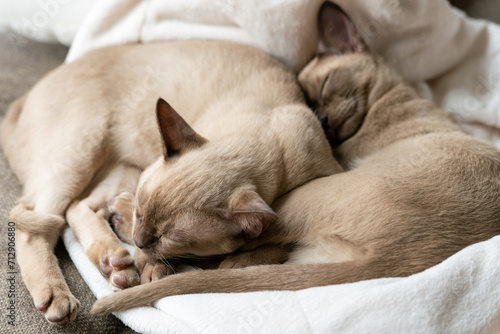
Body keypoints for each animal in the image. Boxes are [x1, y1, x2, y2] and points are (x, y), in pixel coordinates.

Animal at [0, 39, 340, 324]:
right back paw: (62, 294)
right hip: (82, 152)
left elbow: (270, 250)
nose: (137, 240)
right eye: (139, 212)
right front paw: (156, 269)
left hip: (121, 167)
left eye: (169, 237)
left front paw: (235, 264)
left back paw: (115, 263)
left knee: (79, 208)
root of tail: (24, 96)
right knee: (40, 225)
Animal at [90, 3, 500, 316]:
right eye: (313, 98)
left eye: (326, 86)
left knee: (239, 252)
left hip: (292, 202)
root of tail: (395, 263)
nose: (323, 119)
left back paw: (123, 221)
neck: (390, 102)